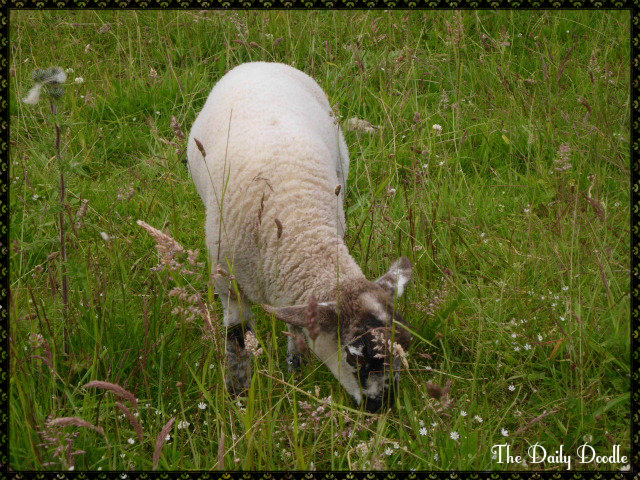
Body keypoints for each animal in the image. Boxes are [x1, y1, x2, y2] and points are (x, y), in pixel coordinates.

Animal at [187, 62, 413, 412]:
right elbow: (237, 340)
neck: (301, 226)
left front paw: (295, 369)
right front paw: (239, 396)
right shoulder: (229, 284)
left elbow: (295, 326)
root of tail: (261, 64)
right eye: (353, 357)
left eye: (404, 344)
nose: (382, 408)